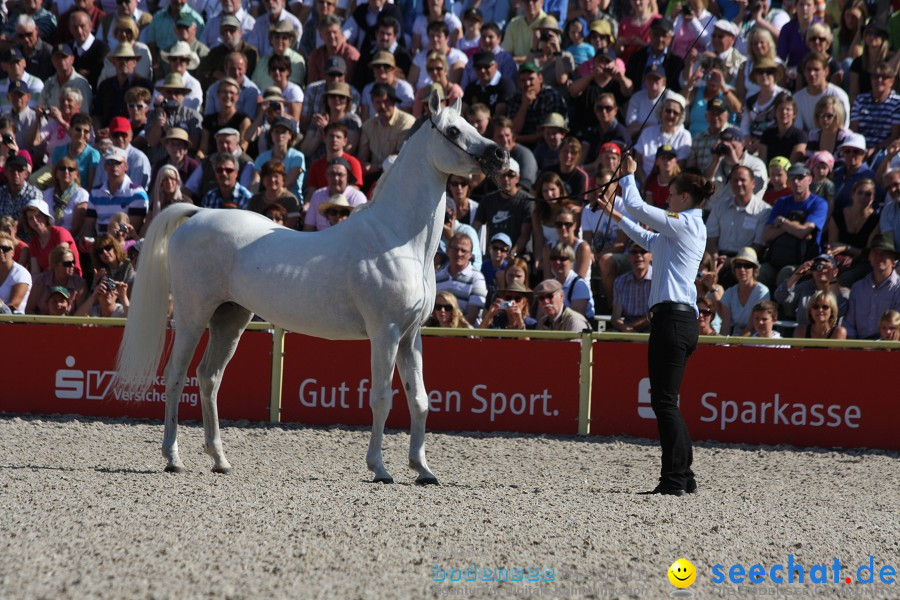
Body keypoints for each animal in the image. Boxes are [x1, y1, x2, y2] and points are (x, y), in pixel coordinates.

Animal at [115, 95, 506, 488]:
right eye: (453, 130)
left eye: (472, 124)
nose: (500, 154)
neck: (396, 238)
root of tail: (197, 214)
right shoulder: (386, 334)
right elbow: (382, 398)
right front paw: (380, 469)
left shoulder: (411, 337)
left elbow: (421, 401)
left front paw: (423, 470)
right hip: (193, 317)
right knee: (176, 376)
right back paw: (173, 458)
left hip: (231, 319)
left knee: (209, 378)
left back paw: (220, 460)